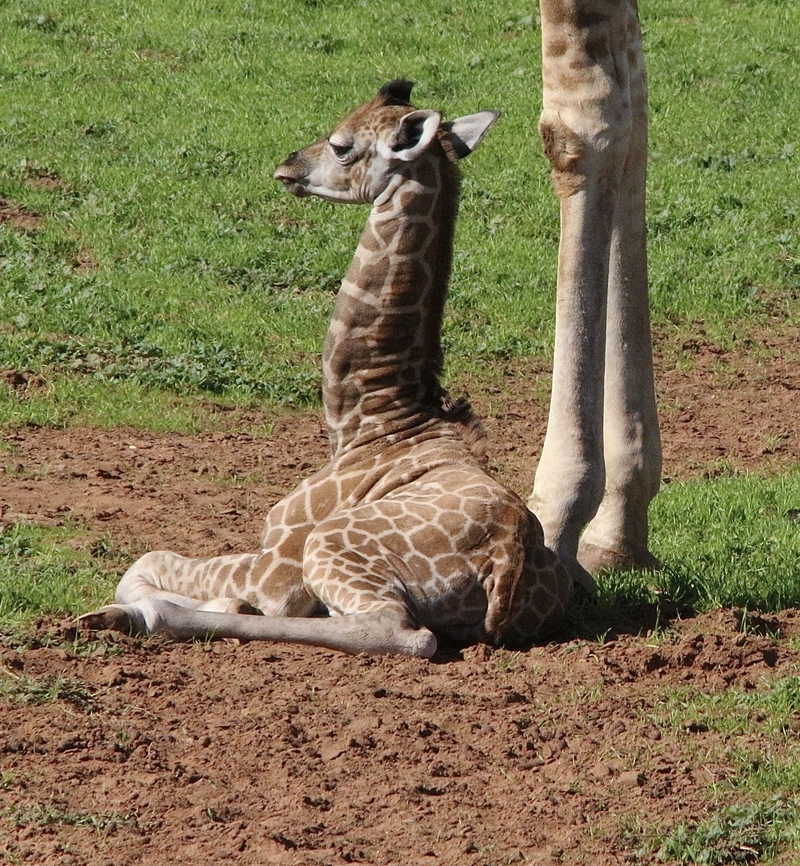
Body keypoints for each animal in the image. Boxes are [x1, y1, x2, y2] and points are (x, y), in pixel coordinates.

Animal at [80, 81, 574, 658]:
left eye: (340, 145)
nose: (287, 166)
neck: (370, 420)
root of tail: (506, 564)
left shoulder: (276, 566)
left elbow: (148, 561)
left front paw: (145, 607)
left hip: (329, 548)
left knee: (400, 631)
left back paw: (144, 617)